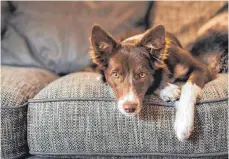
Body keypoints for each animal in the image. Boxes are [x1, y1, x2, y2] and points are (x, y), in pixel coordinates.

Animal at [87, 11, 227, 141]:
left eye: (142, 74)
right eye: (115, 74)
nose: (129, 108)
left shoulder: (203, 68)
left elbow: (188, 87)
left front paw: (183, 123)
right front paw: (167, 90)